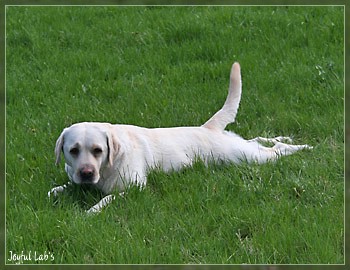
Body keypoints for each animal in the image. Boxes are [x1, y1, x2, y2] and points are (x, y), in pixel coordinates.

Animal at [48, 62, 312, 213]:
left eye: (98, 150)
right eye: (73, 151)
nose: (86, 172)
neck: (106, 168)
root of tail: (208, 127)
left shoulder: (135, 188)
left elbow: (106, 199)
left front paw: (91, 211)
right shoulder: (77, 179)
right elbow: (61, 188)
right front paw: (58, 191)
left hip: (244, 157)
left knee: (275, 151)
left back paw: (301, 147)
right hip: (241, 147)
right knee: (259, 140)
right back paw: (287, 140)